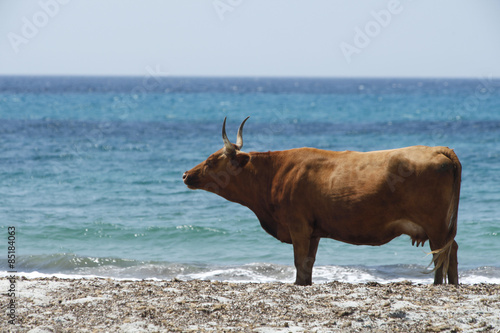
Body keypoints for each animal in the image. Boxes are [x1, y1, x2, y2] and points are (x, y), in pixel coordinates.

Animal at [184, 117, 460, 286]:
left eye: (211, 161)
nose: (186, 174)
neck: (276, 173)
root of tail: (438, 149)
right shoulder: (314, 231)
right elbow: (308, 264)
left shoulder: (298, 226)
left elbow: (299, 262)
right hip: (443, 227)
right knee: (452, 251)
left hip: (435, 225)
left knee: (441, 256)